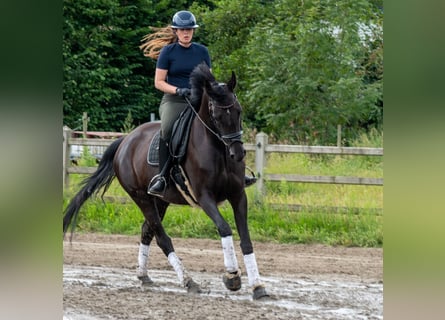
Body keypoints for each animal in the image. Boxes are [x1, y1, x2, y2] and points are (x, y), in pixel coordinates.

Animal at [62, 62, 268, 300]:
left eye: (238, 111)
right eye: (216, 116)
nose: (237, 153)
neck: (218, 151)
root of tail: (125, 140)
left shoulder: (238, 195)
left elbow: (246, 238)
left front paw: (258, 287)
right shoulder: (204, 197)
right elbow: (225, 228)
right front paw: (232, 277)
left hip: (160, 200)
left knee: (147, 231)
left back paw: (144, 276)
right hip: (141, 197)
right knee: (161, 238)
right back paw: (188, 281)